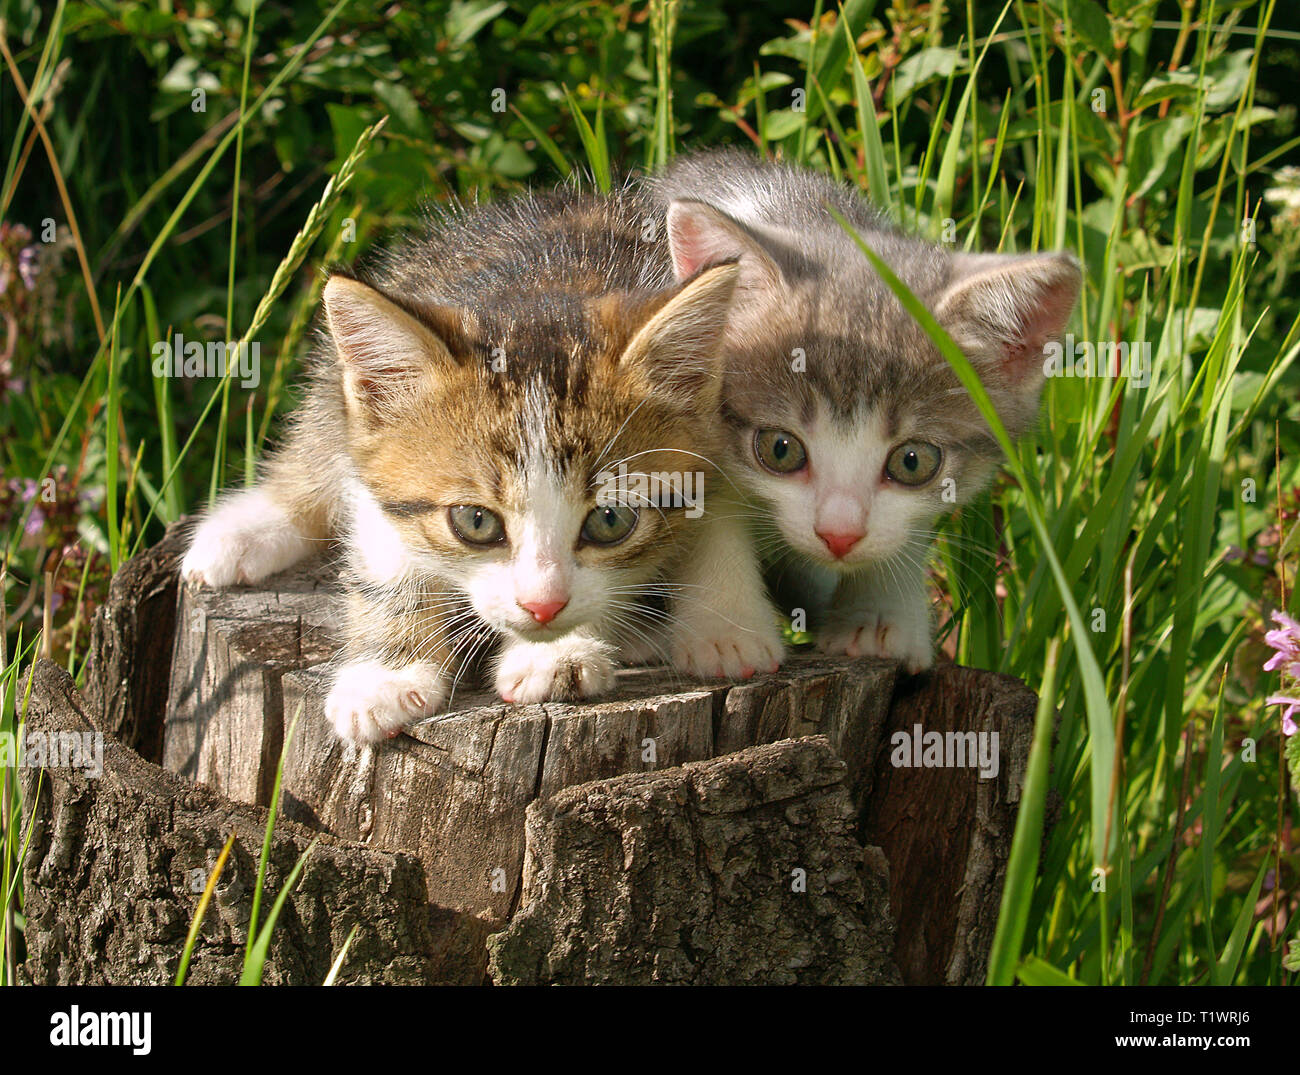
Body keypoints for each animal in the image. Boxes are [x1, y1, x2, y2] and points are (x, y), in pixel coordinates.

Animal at [182, 187, 780, 738]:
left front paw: (560, 653)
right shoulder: (377, 472)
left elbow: (715, 513)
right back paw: (240, 535)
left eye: (611, 521)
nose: (543, 607)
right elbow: (384, 547)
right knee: (318, 442)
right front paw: (385, 673)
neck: (553, 281)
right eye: (474, 521)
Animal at [644, 149, 1081, 670]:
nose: (840, 536)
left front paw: (879, 616)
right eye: (780, 449)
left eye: (913, 461)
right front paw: (727, 631)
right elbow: (710, 512)